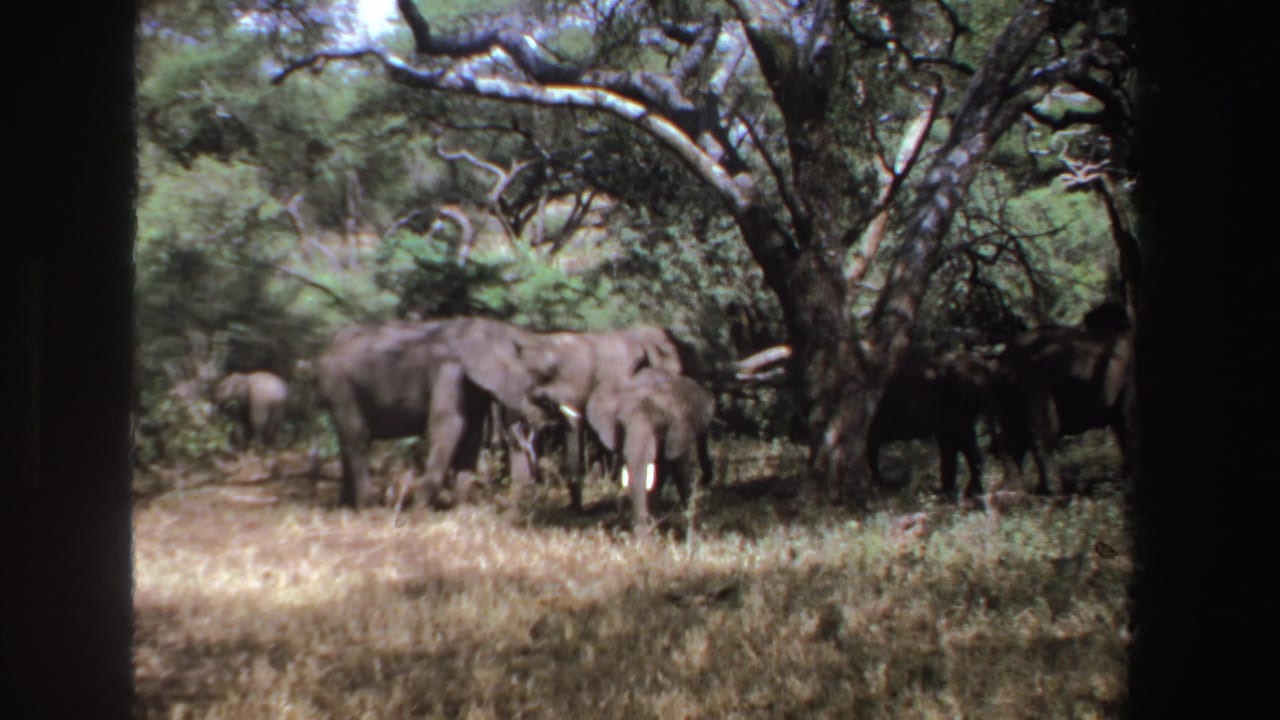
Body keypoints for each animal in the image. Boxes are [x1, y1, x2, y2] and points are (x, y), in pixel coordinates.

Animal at [990, 302, 1136, 495]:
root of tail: (1002, 363)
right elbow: (1128, 425)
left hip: (1004, 398)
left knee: (1010, 441)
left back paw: (1013, 492)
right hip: (1037, 387)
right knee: (1043, 435)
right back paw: (1053, 491)